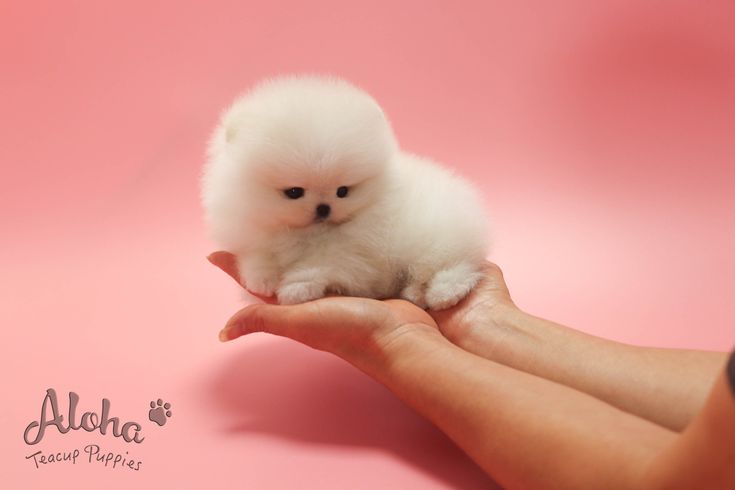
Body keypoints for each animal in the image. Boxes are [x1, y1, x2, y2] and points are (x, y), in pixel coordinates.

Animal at [201, 74, 488, 308]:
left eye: (342, 191)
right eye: (294, 192)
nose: (323, 208)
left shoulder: (357, 256)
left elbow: (321, 265)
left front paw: (297, 288)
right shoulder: (254, 231)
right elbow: (256, 255)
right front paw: (261, 277)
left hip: (437, 239)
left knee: (457, 265)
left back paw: (444, 293)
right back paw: (414, 292)